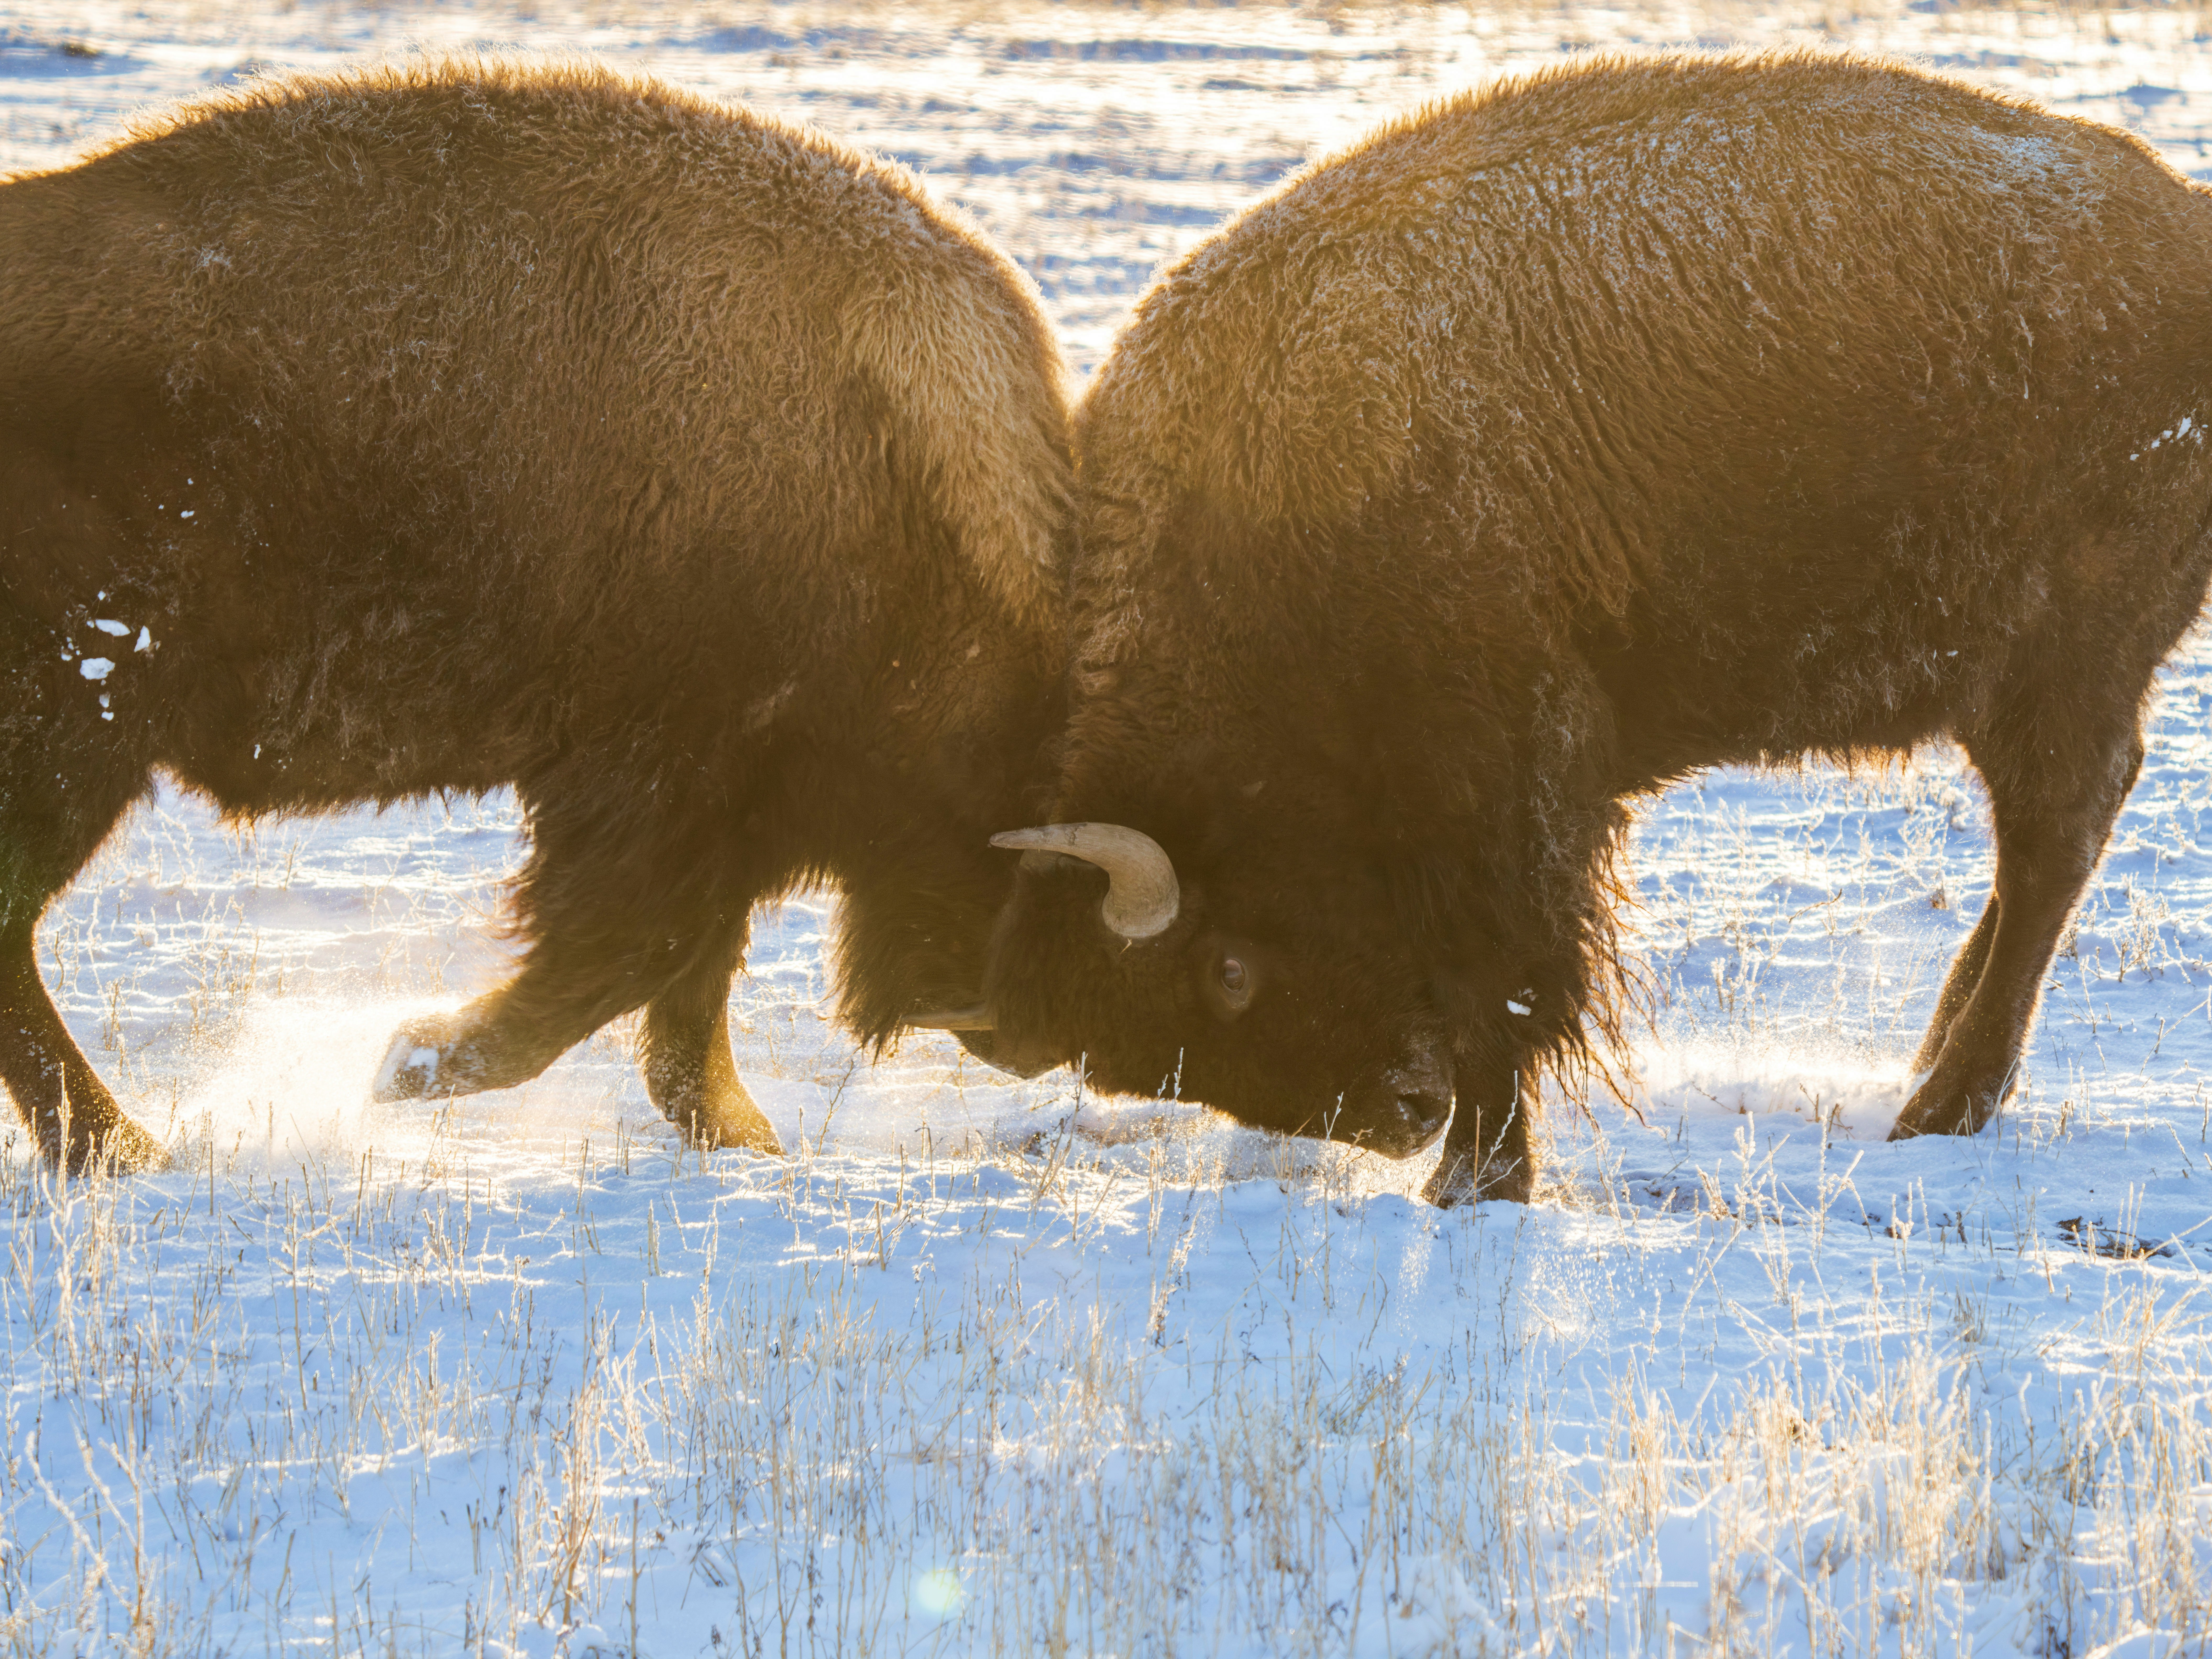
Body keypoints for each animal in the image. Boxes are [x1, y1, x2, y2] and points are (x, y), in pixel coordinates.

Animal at [0, 59, 1071, 1170]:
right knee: (11, 932)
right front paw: (407, 1063)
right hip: (78, 737)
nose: (1021, 1036)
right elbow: (626, 961)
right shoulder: (667, 782)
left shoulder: (718, 809)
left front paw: (738, 1135)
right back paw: (118, 1149)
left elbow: (686, 980)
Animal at [956, 51, 2212, 1204]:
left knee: (2050, 844)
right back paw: (1930, 1064)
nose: (1394, 1118)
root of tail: (2185, 236)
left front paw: (1479, 1181)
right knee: (2034, 854)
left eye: (1227, 971)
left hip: (2059, 668)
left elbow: (1502, 986)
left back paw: (1940, 1106)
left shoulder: (1507, 795)